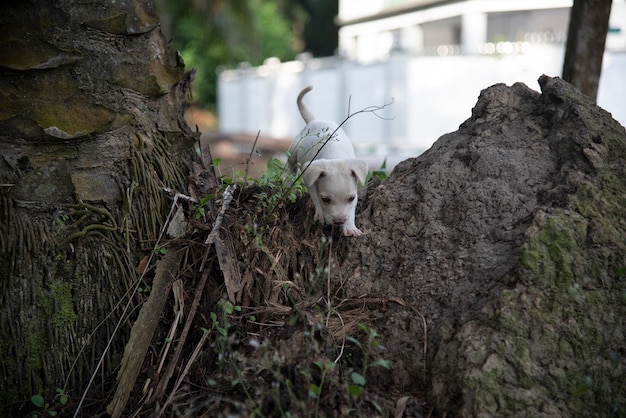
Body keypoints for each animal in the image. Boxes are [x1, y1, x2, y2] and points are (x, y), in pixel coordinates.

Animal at [286, 85, 368, 235]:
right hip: (294, 150)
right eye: (326, 199)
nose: (339, 221)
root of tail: (314, 120)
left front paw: (350, 227)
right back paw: (287, 181)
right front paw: (320, 214)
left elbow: (351, 210)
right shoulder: (310, 177)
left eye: (351, 198)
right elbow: (315, 196)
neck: (335, 156)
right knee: (290, 165)